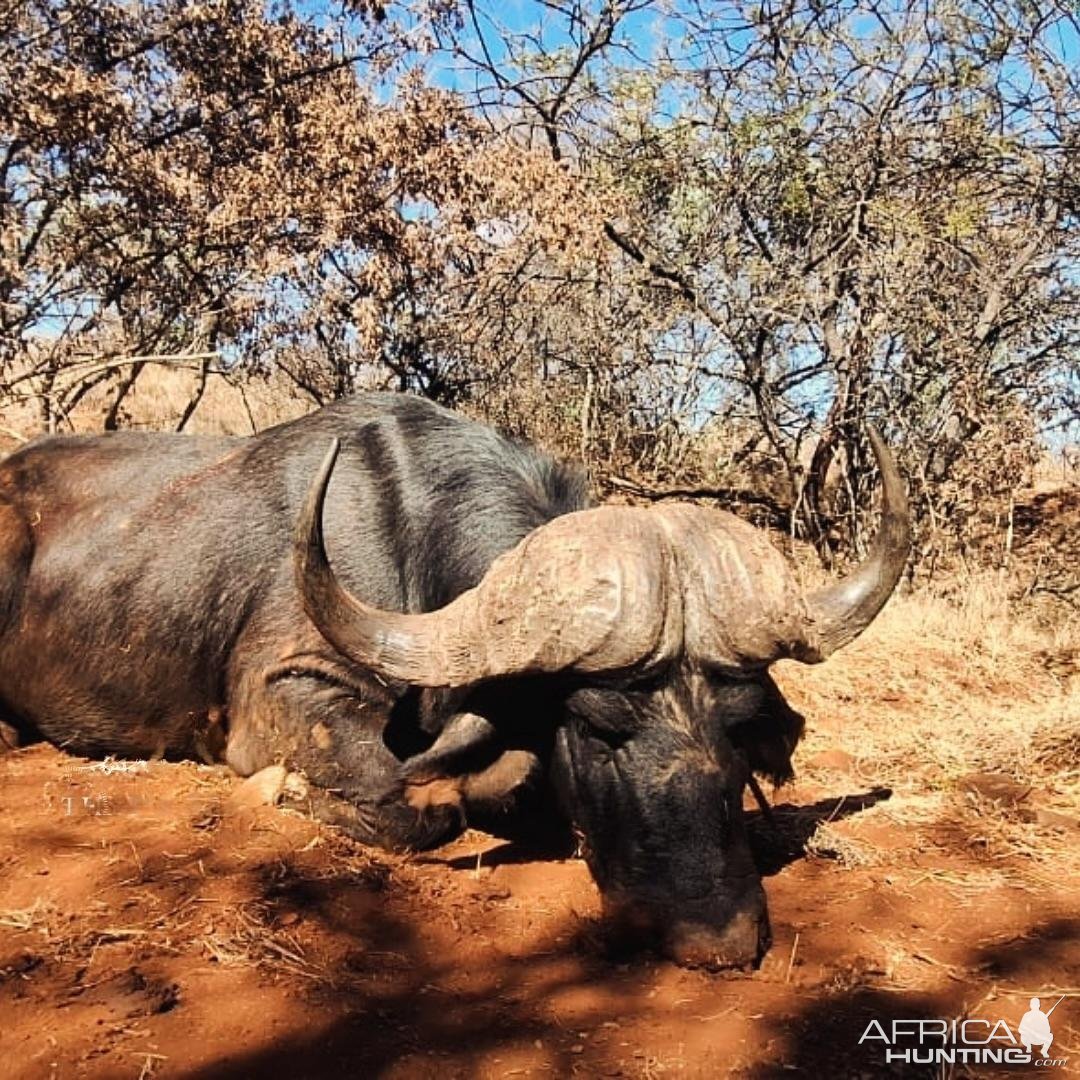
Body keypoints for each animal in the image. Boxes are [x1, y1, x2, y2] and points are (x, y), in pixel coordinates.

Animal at [0, 397, 911, 972]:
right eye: (597, 726)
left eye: (735, 729)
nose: (716, 939)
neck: (403, 534)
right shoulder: (290, 693)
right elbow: (422, 803)